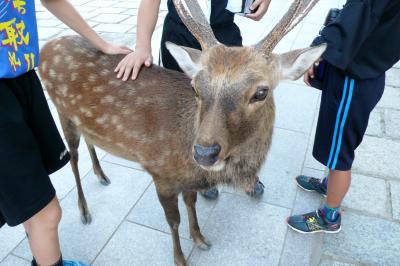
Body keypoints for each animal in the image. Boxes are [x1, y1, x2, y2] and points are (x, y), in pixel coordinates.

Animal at [37, 1, 324, 264]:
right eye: (195, 87)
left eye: (261, 92)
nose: (204, 152)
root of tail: (45, 48)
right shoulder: (161, 173)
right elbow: (172, 221)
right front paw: (180, 258)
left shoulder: (186, 180)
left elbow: (191, 203)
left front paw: (200, 238)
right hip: (60, 109)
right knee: (72, 157)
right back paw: (84, 210)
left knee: (89, 140)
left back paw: (101, 175)